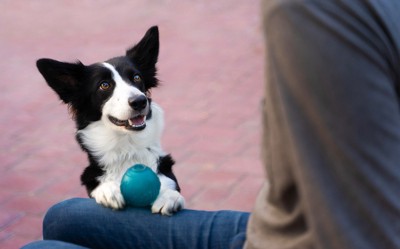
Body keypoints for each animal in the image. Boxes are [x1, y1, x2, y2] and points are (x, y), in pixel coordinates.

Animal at [36, 26, 184, 215]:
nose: (140, 101)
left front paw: (168, 196)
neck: (127, 149)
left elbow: (167, 184)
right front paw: (109, 190)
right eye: (104, 85)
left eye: (137, 78)